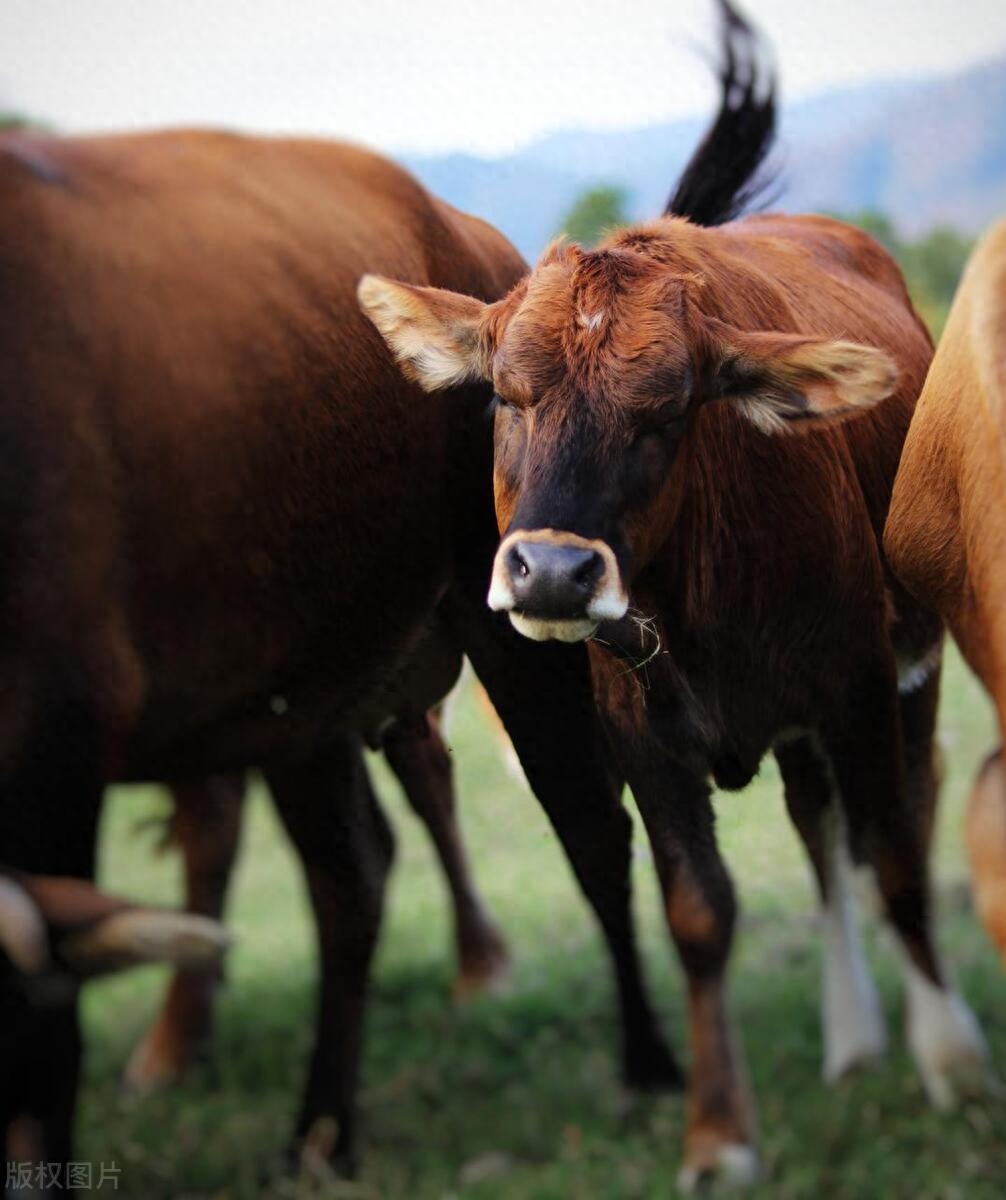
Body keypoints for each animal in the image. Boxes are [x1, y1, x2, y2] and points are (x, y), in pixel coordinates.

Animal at [0, 131, 681, 1180]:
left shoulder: (55, 751)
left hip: (509, 637)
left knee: (588, 832)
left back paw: (646, 1064)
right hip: (301, 696)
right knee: (350, 874)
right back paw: (321, 1127)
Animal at [362, 0, 993, 1185]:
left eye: (667, 410)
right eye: (504, 397)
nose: (553, 570)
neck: (703, 596)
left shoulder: (858, 692)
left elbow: (894, 857)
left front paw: (952, 1062)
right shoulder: (648, 747)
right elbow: (700, 915)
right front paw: (717, 1133)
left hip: (908, 674)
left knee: (892, 819)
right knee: (814, 834)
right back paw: (850, 1035)